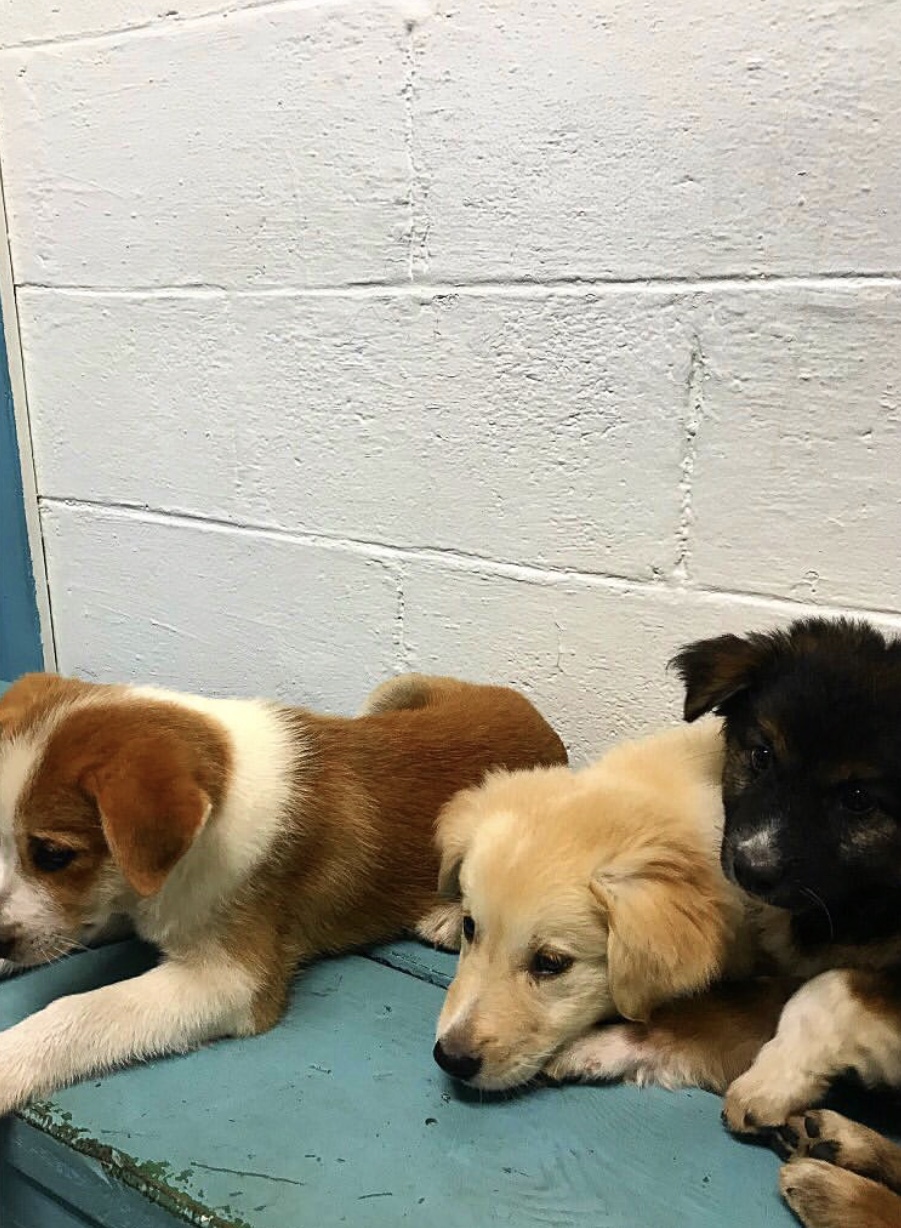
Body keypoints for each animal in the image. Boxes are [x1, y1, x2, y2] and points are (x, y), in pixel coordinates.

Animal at [0, 670, 567, 1113]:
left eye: (53, 855)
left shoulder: (230, 982)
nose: (0, 940)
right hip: (392, 692)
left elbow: (80, 1010)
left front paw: (10, 1063)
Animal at [430, 719, 780, 1092]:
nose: (450, 1059)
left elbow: (708, 1022)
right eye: (470, 927)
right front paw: (446, 917)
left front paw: (594, 1048)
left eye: (551, 963)